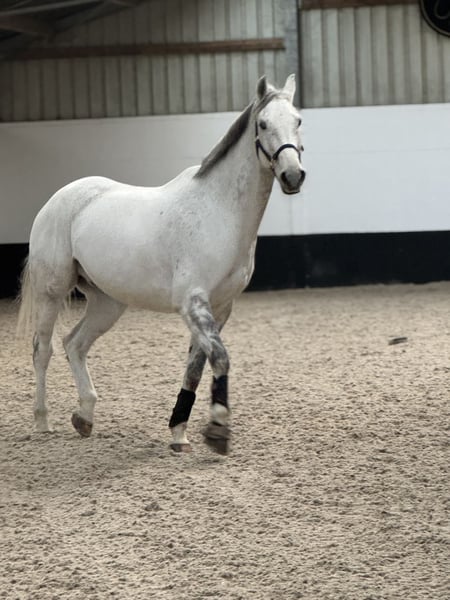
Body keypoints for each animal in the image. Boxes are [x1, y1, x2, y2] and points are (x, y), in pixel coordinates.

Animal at [17, 74, 306, 455]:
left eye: (298, 121)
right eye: (263, 124)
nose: (293, 176)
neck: (219, 211)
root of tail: (58, 199)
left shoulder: (220, 308)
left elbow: (196, 367)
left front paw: (179, 433)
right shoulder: (193, 303)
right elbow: (220, 358)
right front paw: (218, 432)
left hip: (108, 303)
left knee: (74, 344)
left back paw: (85, 417)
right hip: (52, 293)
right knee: (43, 350)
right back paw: (42, 421)